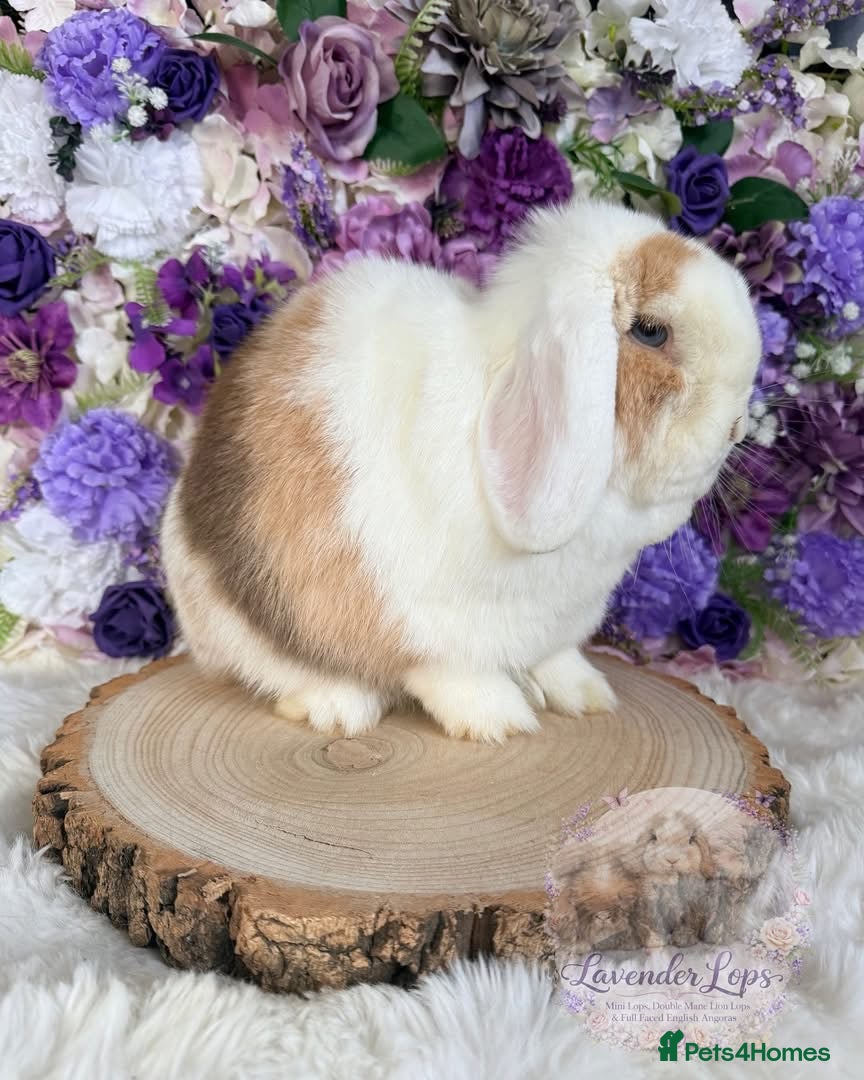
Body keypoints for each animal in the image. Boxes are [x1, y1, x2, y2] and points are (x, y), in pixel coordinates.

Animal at [160, 198, 760, 743]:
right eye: (651, 331)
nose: (737, 428)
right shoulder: (427, 627)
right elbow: (453, 676)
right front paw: (501, 722)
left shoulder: (556, 625)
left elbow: (557, 659)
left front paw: (588, 695)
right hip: (233, 619)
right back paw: (338, 708)